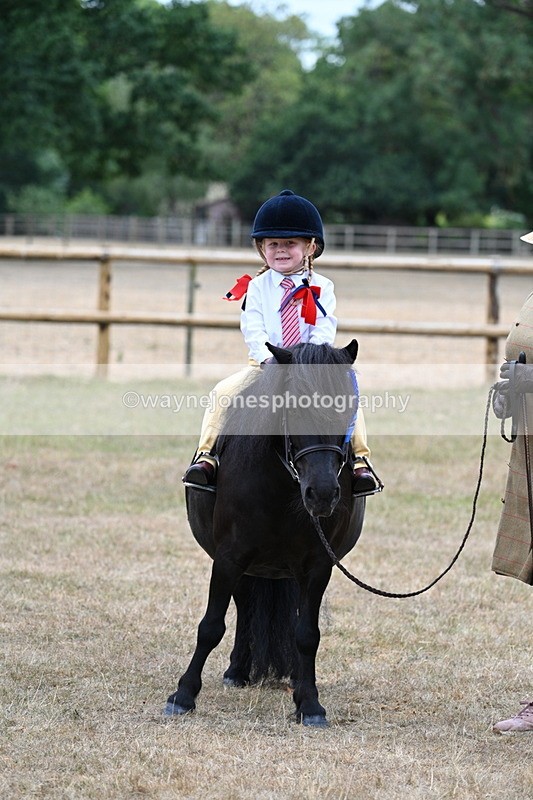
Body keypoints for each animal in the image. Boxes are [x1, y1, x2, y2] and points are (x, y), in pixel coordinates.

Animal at [166, 339, 366, 727]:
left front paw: (310, 703)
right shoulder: (228, 558)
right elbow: (210, 626)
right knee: (244, 607)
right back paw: (237, 671)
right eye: (295, 407)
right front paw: (183, 696)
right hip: (246, 567)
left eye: (347, 409)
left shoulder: (318, 566)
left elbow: (307, 634)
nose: (322, 494)